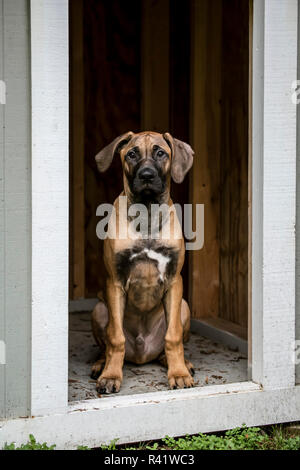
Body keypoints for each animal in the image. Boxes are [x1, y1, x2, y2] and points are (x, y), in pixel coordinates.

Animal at [91, 131, 195, 392]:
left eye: (160, 153)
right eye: (131, 154)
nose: (146, 175)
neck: (147, 214)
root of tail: (141, 355)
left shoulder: (174, 281)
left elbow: (173, 337)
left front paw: (178, 373)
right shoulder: (115, 282)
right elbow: (115, 338)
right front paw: (111, 376)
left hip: (184, 306)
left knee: (167, 346)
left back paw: (180, 363)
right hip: (99, 309)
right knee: (107, 345)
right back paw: (101, 364)